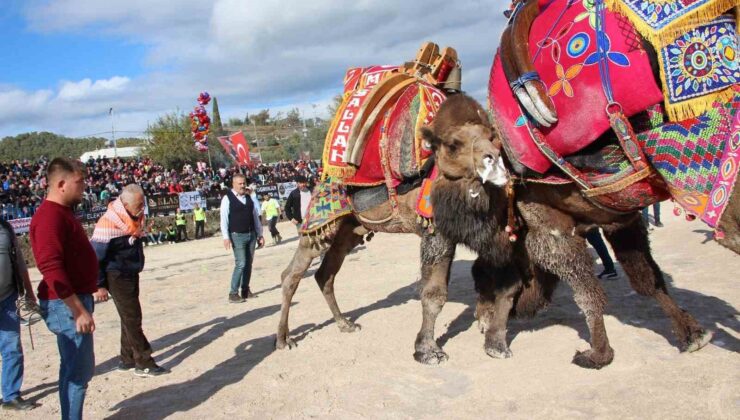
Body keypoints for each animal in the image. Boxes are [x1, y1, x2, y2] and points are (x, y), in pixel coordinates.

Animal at [274, 92, 512, 364]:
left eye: (492, 137)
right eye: (454, 144)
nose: (492, 159)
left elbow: (491, 271)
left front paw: (488, 328)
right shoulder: (435, 232)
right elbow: (434, 293)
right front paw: (428, 350)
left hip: (349, 230)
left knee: (325, 274)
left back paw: (345, 324)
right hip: (320, 226)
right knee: (291, 274)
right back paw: (283, 339)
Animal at [424, 94, 712, 368]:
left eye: (490, 139)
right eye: (452, 145)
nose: (490, 163)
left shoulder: (557, 228)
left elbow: (596, 292)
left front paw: (597, 354)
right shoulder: (616, 223)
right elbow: (641, 281)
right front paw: (693, 335)